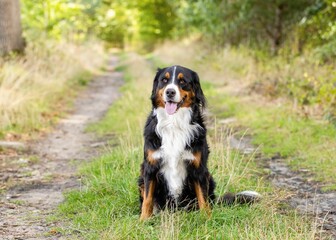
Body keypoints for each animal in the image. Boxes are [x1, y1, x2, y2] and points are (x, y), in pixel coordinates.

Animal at [138, 65, 258, 219]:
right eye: (164, 80)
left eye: (182, 81)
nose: (170, 92)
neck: (174, 123)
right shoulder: (150, 166)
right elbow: (148, 198)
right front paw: (144, 219)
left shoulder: (198, 168)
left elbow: (203, 197)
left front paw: (206, 218)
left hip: (209, 177)